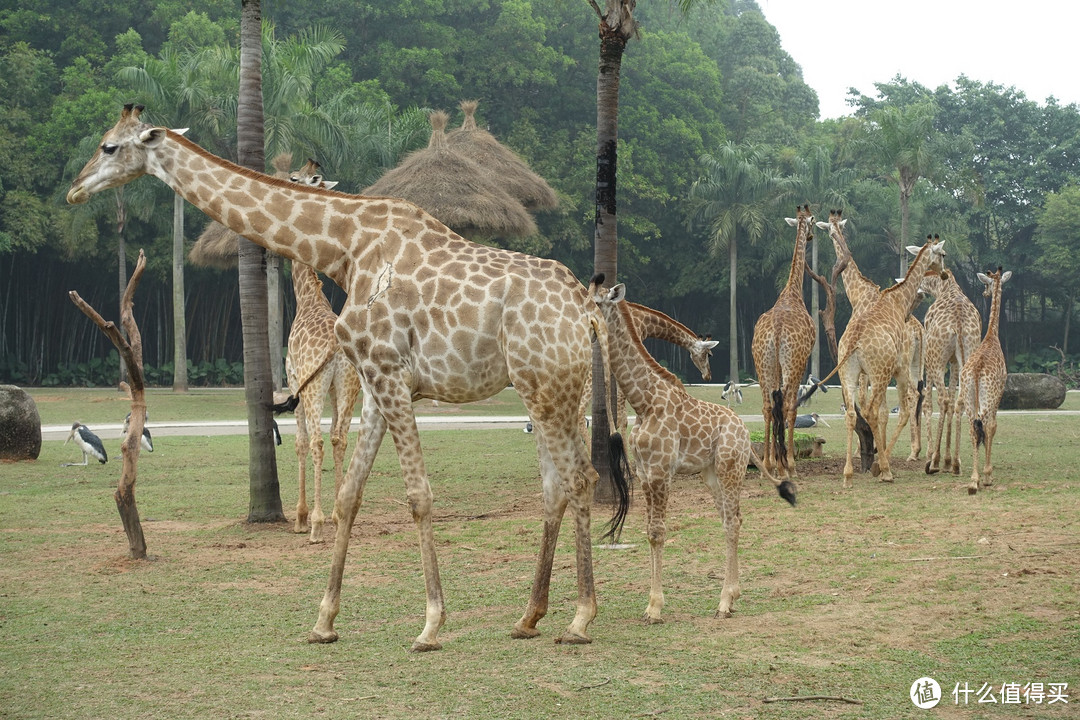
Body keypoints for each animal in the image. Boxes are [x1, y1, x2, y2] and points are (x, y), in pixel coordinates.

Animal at [69, 105, 630, 651]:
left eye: (109, 146)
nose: (75, 187)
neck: (344, 247)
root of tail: (586, 309)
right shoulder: (377, 385)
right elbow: (350, 495)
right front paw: (324, 621)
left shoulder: (388, 373)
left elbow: (418, 494)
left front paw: (430, 625)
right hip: (546, 390)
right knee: (556, 485)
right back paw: (529, 616)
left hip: (549, 387)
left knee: (580, 477)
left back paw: (580, 618)